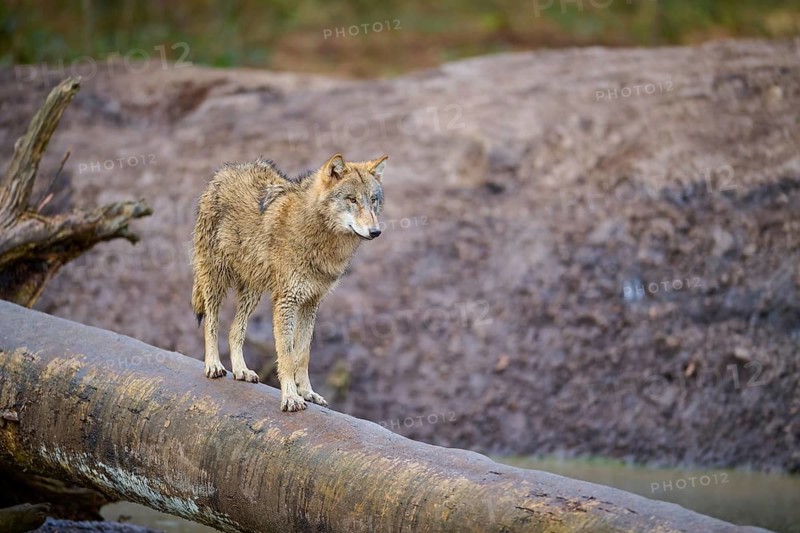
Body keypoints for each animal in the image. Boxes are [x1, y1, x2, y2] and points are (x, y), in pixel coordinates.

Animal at [191, 153, 387, 411]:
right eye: (352, 199)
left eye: (373, 200)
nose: (375, 232)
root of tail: (224, 172)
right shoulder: (287, 301)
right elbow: (286, 353)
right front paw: (291, 397)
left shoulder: (311, 302)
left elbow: (302, 354)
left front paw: (307, 393)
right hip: (215, 279)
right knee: (211, 323)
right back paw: (213, 365)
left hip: (253, 291)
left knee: (235, 330)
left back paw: (242, 371)